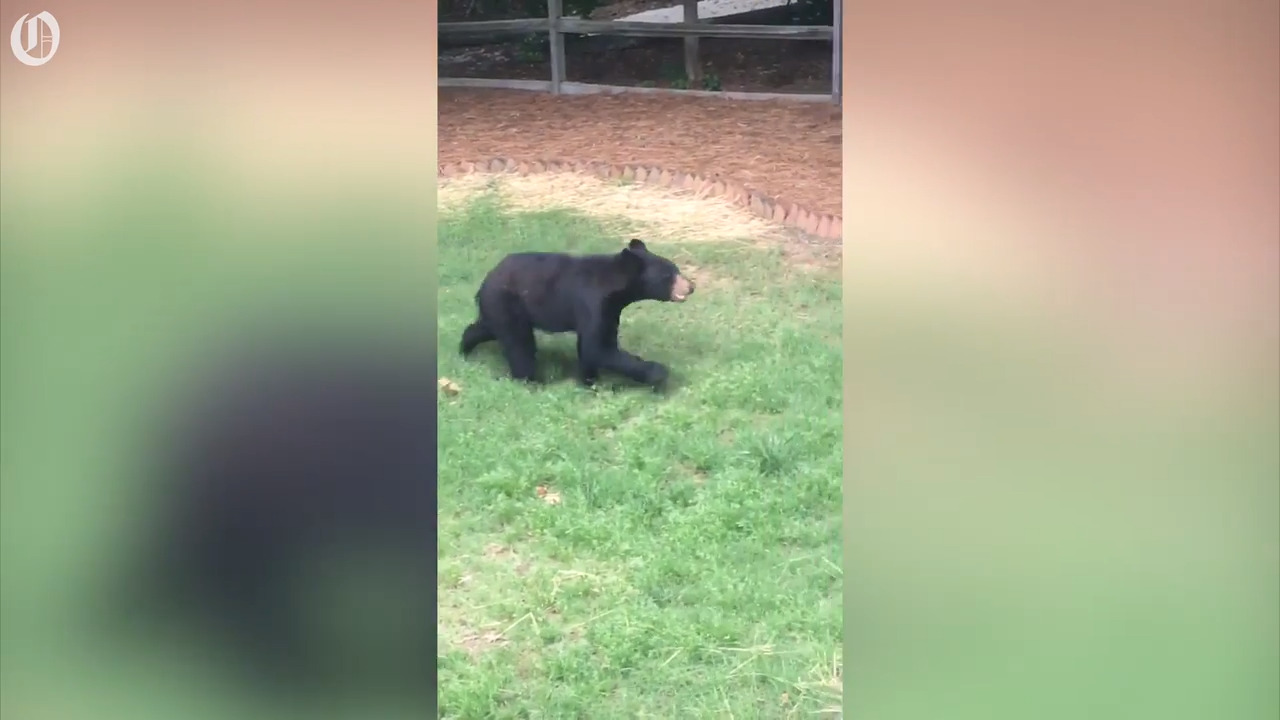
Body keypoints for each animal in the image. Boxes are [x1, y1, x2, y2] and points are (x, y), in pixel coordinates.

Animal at [459, 238, 695, 387]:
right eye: (668, 275)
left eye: (676, 269)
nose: (691, 286)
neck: (614, 288)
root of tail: (485, 281)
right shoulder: (591, 303)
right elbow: (597, 347)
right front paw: (659, 373)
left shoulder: (610, 310)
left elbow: (594, 345)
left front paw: (591, 381)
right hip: (507, 302)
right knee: (519, 344)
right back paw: (532, 381)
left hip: (500, 307)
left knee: (487, 328)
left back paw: (465, 349)